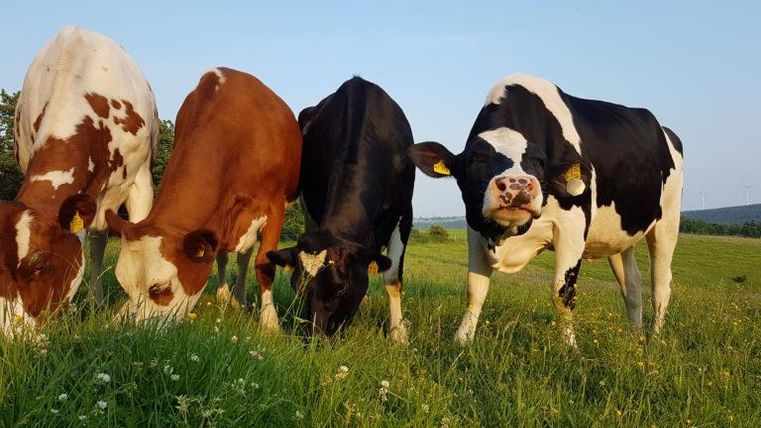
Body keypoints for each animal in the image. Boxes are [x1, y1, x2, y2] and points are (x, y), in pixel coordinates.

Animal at [105, 67, 301, 329]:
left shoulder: (274, 206)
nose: (128, 330)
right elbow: (221, 257)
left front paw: (269, 322)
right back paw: (230, 298)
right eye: (124, 286)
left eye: (160, 289)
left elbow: (264, 263)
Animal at [267, 77, 415, 343]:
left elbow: (392, 279)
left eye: (342, 287)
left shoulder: (404, 212)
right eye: (297, 288)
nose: (317, 338)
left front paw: (398, 335)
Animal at [409, 74, 684, 347]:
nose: (517, 185)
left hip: (667, 222)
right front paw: (462, 339)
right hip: (618, 235)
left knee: (661, 284)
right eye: (475, 158)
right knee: (632, 285)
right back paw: (635, 338)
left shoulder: (572, 224)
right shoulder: (475, 226)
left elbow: (562, 293)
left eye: (539, 162)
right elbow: (475, 288)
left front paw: (569, 347)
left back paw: (654, 340)